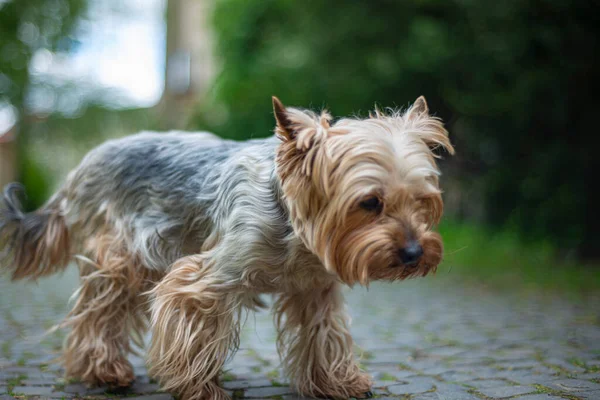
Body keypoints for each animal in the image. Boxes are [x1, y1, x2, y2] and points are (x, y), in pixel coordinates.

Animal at [0, 97, 452, 400]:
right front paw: (198, 387)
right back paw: (103, 370)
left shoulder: (315, 289)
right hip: (122, 256)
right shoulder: (207, 279)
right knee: (98, 311)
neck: (292, 219)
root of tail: (82, 165)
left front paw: (338, 383)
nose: (415, 254)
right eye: (370, 203)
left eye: (422, 201)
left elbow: (325, 334)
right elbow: (196, 329)